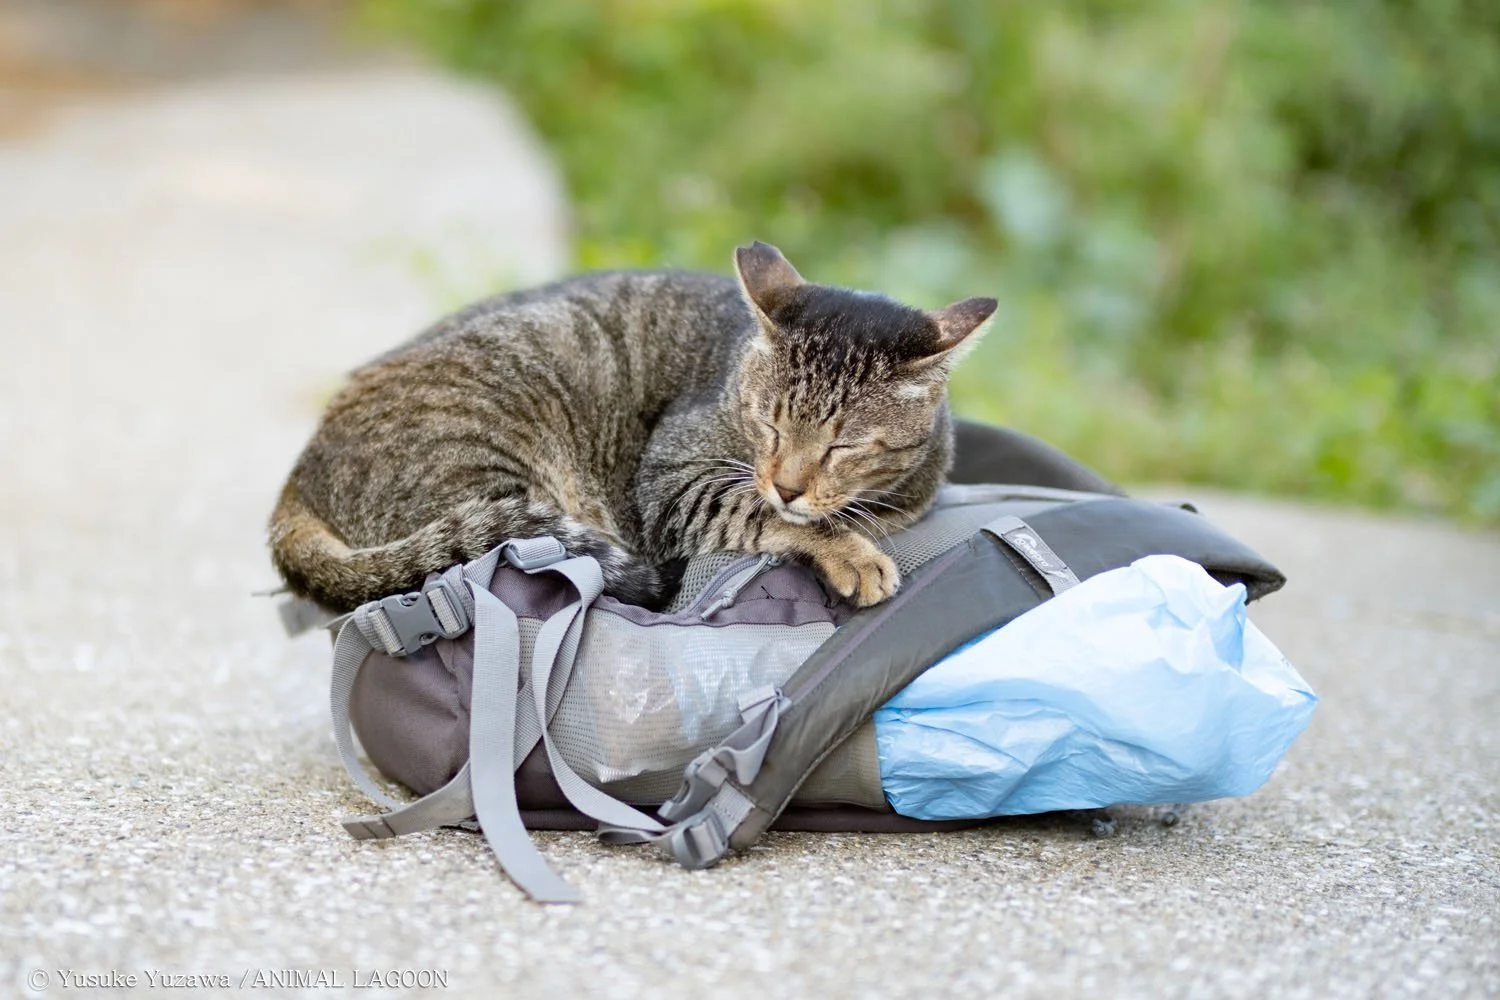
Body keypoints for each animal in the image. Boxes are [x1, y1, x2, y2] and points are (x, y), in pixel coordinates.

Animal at [270, 245, 996, 614]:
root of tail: (298, 476)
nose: (789, 484)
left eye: (843, 445)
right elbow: (770, 514)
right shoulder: (674, 480)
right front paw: (850, 553)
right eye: (767, 423)